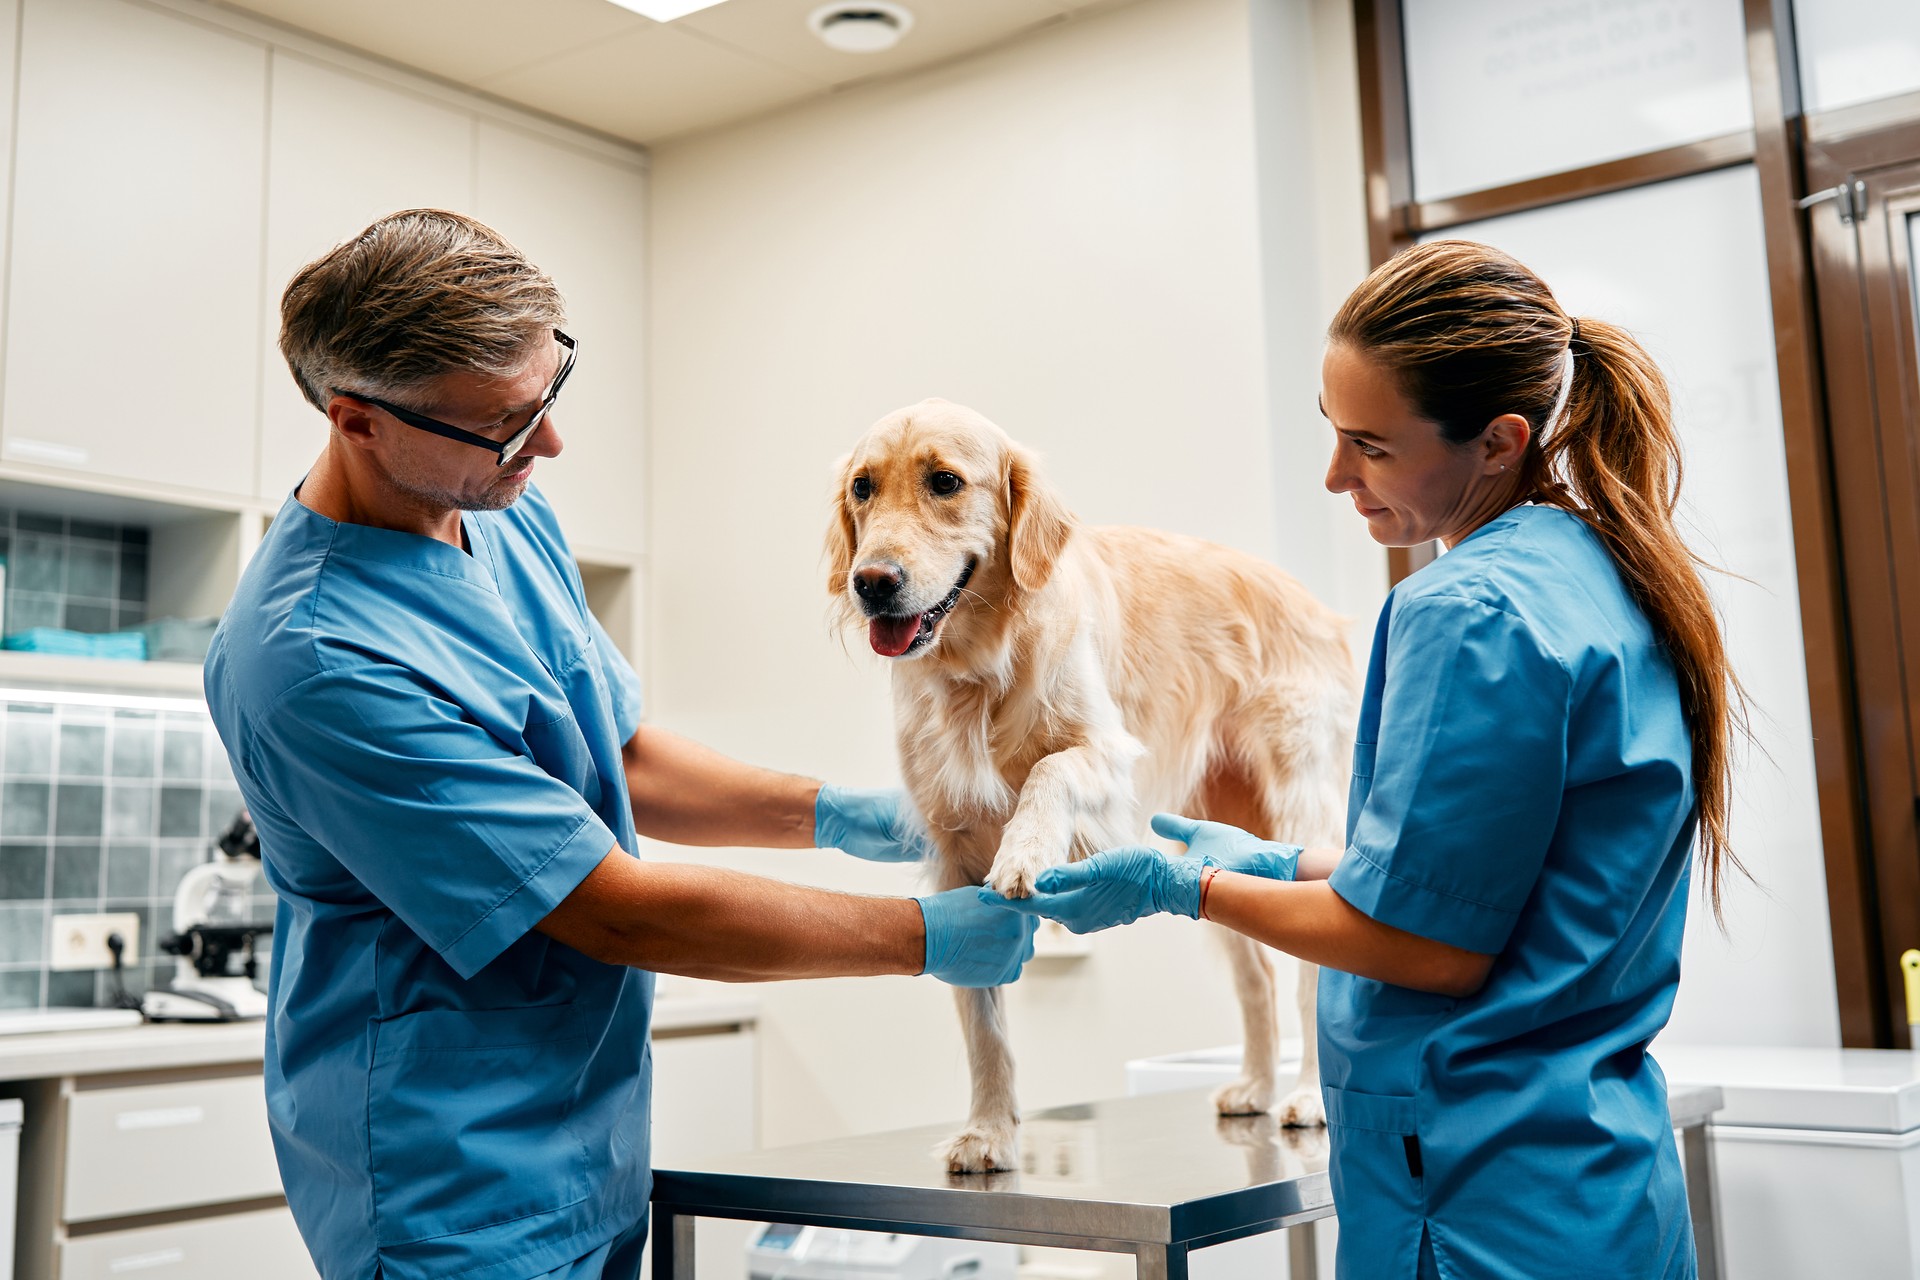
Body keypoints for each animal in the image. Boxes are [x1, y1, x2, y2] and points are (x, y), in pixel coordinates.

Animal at [833, 397, 1359, 1174]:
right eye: (863, 488)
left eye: (945, 481)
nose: (871, 582)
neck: (978, 671)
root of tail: (1315, 603)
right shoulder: (950, 843)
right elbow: (983, 1022)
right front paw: (989, 1131)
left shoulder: (1110, 754)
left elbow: (1050, 769)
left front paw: (1025, 850)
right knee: (1257, 977)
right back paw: (1256, 1086)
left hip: (1298, 805)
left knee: (1307, 974)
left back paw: (1307, 1096)